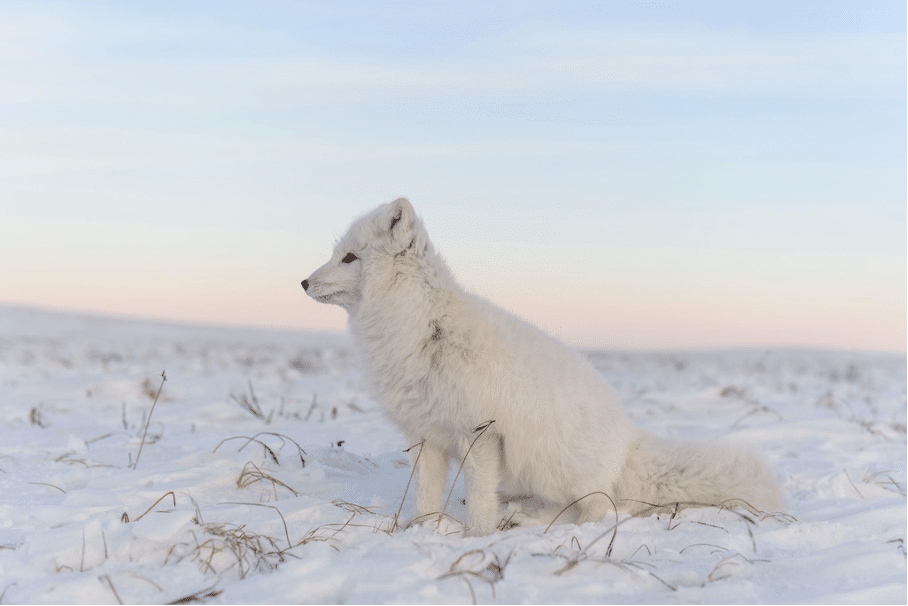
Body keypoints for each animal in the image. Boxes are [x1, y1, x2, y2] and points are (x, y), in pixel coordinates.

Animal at [301, 198, 780, 535]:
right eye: (338, 254)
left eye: (350, 258)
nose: (304, 281)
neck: (420, 328)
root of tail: (628, 442)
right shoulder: (428, 436)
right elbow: (425, 495)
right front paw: (419, 532)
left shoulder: (481, 433)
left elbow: (479, 500)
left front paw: (475, 538)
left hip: (555, 467)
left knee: (596, 513)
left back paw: (529, 521)